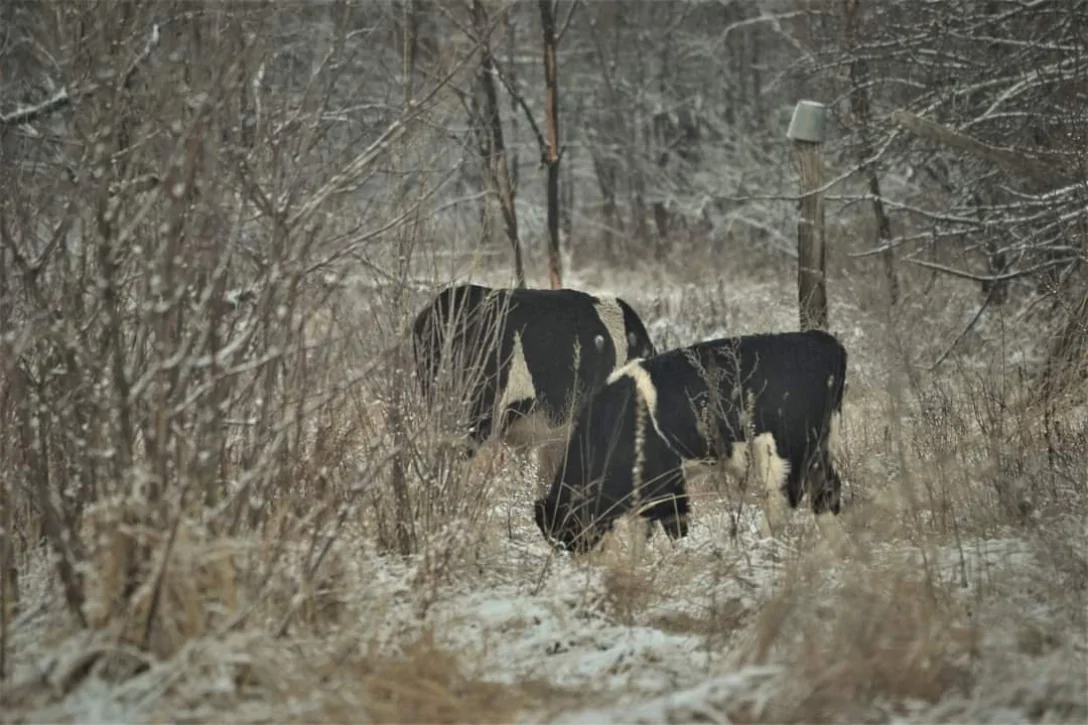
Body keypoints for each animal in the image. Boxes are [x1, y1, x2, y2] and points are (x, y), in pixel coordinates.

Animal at [535, 328, 848, 553]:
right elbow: (640, 533)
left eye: (570, 530)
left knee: (782, 501)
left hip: (784, 452)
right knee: (826, 494)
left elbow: (674, 527)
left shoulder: (668, 483)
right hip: (820, 449)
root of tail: (818, 340)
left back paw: (758, 545)